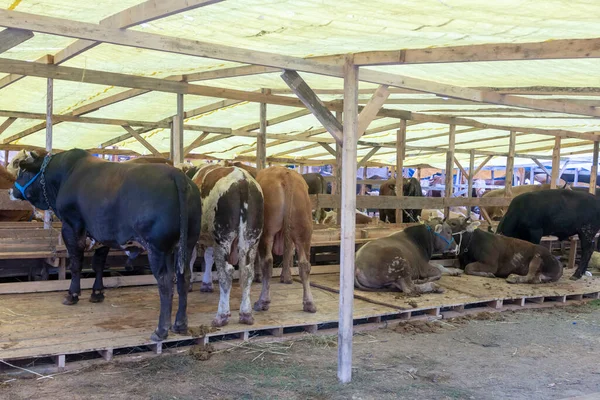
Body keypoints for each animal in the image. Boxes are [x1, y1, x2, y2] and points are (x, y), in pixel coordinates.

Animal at [8, 148, 202, 342]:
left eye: (22, 171)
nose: (11, 191)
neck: (65, 174)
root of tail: (177, 175)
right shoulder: (103, 232)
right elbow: (99, 264)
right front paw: (97, 293)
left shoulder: (71, 226)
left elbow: (76, 263)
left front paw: (72, 294)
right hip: (185, 244)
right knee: (183, 277)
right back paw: (180, 324)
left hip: (157, 248)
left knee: (165, 281)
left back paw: (161, 330)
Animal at [189, 164, 262, 326]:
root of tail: (242, 181)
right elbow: (208, 257)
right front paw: (206, 284)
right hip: (252, 238)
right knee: (247, 273)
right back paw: (246, 314)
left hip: (223, 238)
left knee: (226, 274)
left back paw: (221, 315)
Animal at [253, 167, 318, 314]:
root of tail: (285, 174)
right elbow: (288, 250)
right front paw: (286, 277)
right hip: (304, 231)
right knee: (305, 265)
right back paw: (309, 303)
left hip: (266, 230)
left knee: (267, 261)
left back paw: (262, 302)